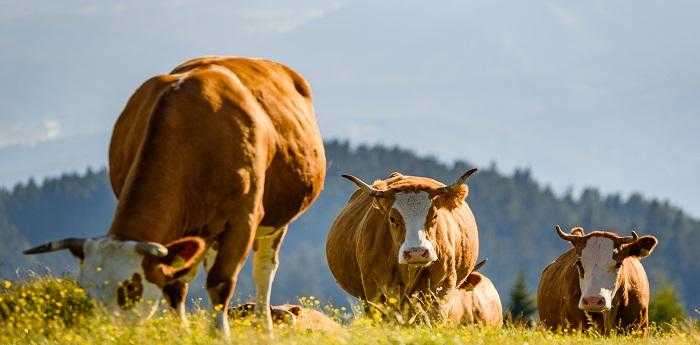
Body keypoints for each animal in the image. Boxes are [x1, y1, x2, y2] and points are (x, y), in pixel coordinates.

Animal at [21, 55, 326, 336]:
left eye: (130, 289)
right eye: (84, 289)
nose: (106, 333)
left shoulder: (243, 219)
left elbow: (220, 282)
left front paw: (220, 334)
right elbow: (174, 286)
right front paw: (183, 334)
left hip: (276, 221)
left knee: (264, 271)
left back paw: (264, 327)